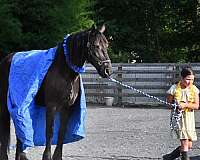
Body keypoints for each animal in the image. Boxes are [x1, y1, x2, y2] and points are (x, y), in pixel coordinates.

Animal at [0, 24, 111, 159]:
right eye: (96, 45)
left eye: (106, 45)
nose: (107, 70)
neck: (63, 71)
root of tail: (6, 60)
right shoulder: (51, 107)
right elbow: (50, 132)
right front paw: (46, 156)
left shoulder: (66, 108)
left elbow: (61, 132)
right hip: (5, 106)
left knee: (20, 133)